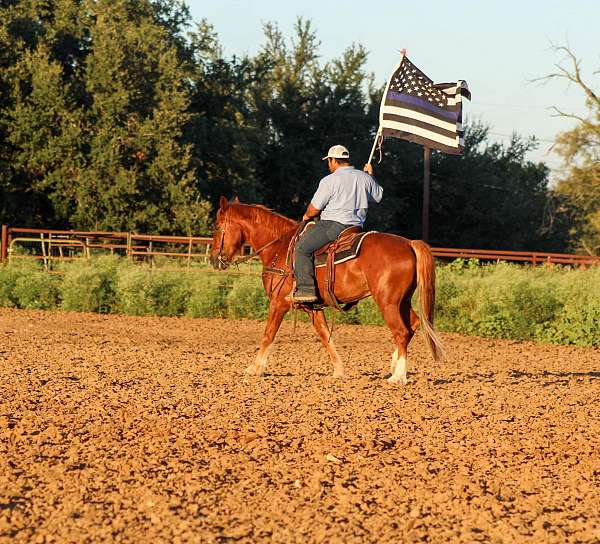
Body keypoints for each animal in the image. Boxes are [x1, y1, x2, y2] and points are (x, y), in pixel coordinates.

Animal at [209, 197, 442, 382]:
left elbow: (268, 334)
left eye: (217, 227)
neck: (279, 248)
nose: (213, 259)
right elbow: (324, 335)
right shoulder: (311, 307)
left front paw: (255, 368)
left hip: (388, 302)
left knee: (401, 331)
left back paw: (398, 376)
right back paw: (393, 367)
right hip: (402, 301)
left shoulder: (278, 302)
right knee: (412, 325)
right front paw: (339, 370)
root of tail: (409, 244)